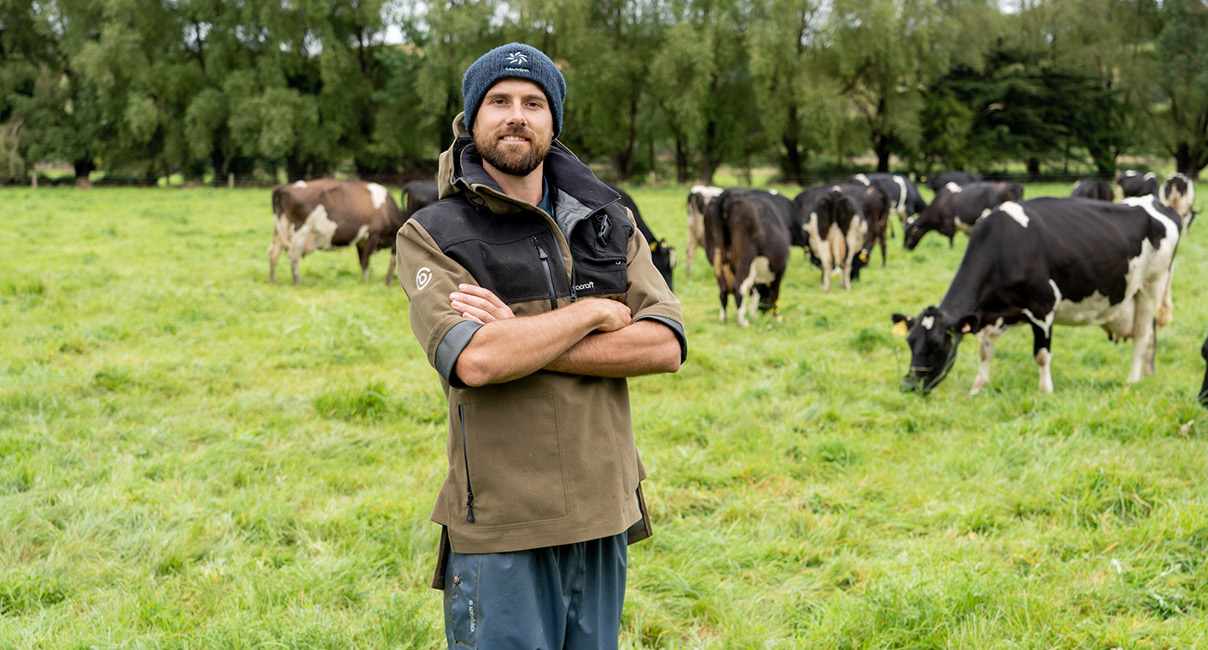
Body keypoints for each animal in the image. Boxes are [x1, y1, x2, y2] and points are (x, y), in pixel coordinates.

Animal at [266, 177, 403, 282]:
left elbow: (361, 260)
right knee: (293, 255)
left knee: (273, 252)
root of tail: (287, 187)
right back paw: (297, 281)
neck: (386, 209)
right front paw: (366, 281)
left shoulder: (361, 240)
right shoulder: (372, 235)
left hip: (281, 230)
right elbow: (365, 260)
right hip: (300, 232)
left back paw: (273, 279)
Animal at [705, 189, 792, 326]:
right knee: (739, 287)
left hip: (715, 257)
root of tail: (730, 195)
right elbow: (775, 293)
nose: (763, 310)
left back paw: (723, 319)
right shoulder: (781, 267)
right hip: (745, 258)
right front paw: (776, 317)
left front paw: (753, 314)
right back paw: (743, 321)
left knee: (723, 289)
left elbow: (753, 291)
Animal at [893, 194, 1183, 391]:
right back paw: (1148, 374)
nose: (909, 386)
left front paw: (1045, 390)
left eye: (937, 345)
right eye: (910, 342)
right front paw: (978, 387)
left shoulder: (1043, 307)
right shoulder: (988, 314)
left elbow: (1042, 355)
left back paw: (1133, 380)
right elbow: (985, 350)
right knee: (1151, 332)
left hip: (1151, 285)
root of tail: (1155, 202)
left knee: (1142, 336)